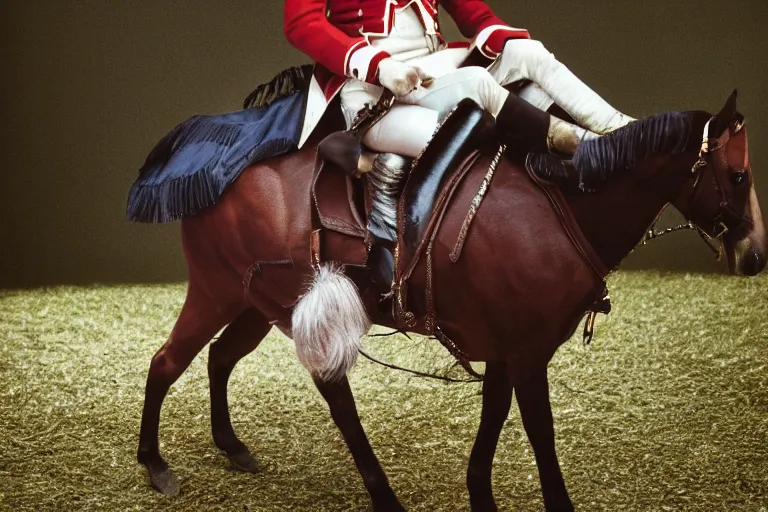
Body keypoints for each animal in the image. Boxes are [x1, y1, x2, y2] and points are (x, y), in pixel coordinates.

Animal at [136, 90, 760, 510]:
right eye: (738, 175)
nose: (755, 255)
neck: (561, 207)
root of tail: (216, 167)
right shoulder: (528, 356)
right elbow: (540, 433)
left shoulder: (506, 352)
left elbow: (493, 423)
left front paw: (480, 496)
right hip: (224, 293)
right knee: (173, 363)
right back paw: (155, 463)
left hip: (258, 305)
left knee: (220, 359)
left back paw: (231, 446)